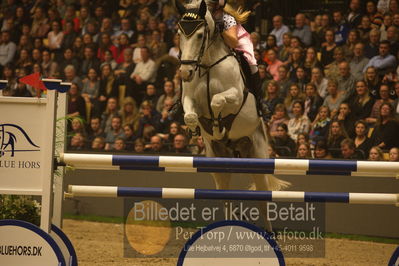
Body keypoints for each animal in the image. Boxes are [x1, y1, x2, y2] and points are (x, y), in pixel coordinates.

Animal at [177, 0, 290, 231]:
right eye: (179, 33)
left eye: (200, 35)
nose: (185, 73)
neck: (207, 64)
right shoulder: (189, 100)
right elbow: (191, 116)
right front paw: (196, 129)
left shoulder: (236, 96)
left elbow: (217, 101)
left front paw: (218, 125)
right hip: (218, 161)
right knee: (225, 196)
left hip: (258, 156)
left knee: (263, 198)